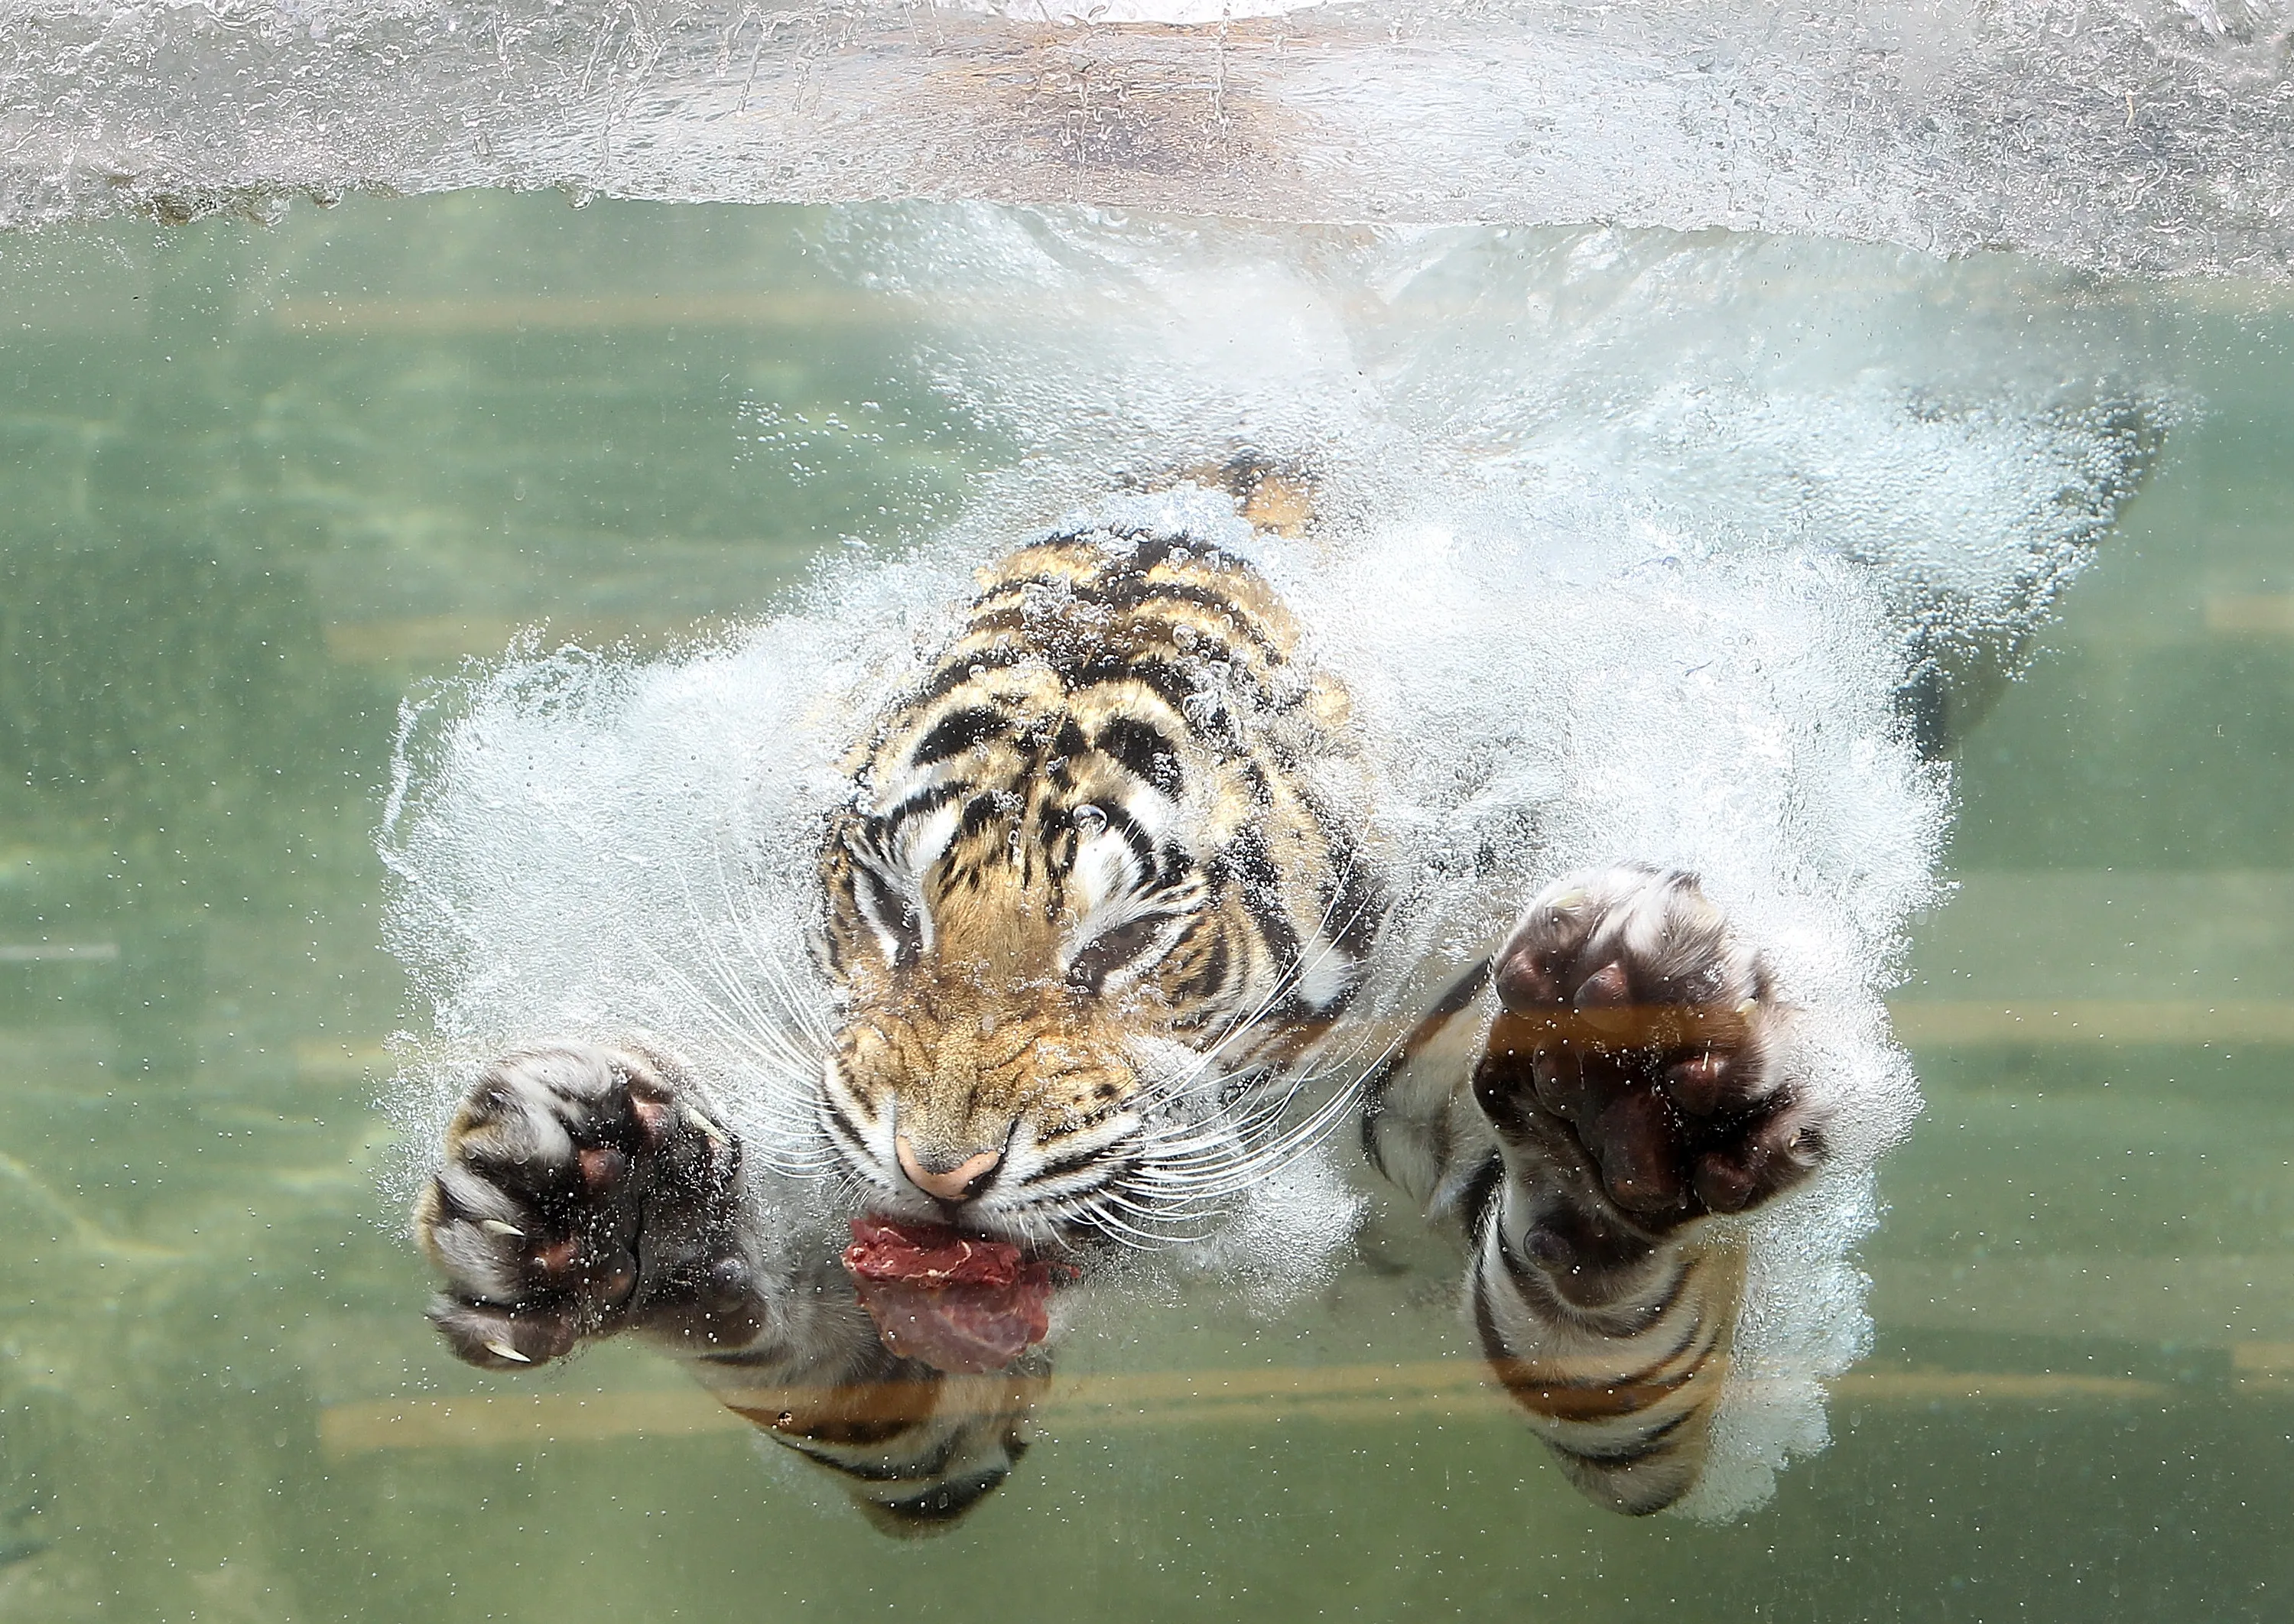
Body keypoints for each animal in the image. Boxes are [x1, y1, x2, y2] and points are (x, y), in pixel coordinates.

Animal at [413, 463, 1991, 1532]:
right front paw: (607, 1194)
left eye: (1128, 939)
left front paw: (1619, 1100)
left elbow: (1597, 1320)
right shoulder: (932, 1402)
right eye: (892, 904)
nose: (942, 1172)